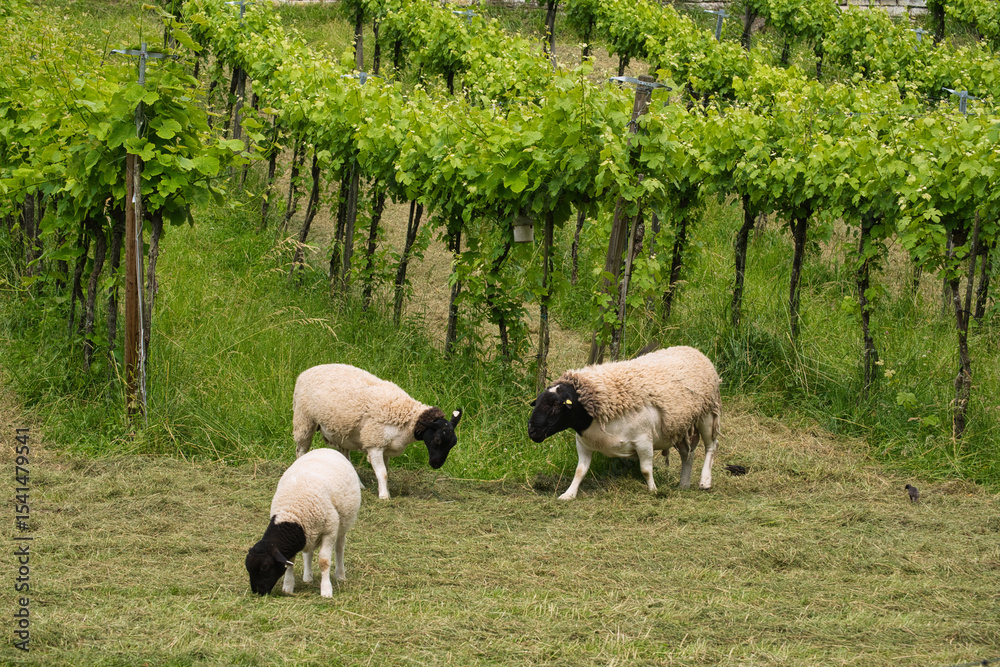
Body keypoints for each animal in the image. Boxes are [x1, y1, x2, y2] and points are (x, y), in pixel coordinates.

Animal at [245, 448, 361, 597]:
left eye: (265, 566)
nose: (258, 592)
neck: (292, 515)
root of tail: (326, 449)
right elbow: (290, 562)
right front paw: (288, 587)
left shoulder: (329, 531)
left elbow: (324, 561)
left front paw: (326, 590)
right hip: (310, 531)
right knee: (308, 552)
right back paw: (308, 577)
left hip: (343, 524)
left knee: (339, 547)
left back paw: (340, 575)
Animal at [292, 363, 462, 499]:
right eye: (437, 439)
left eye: (453, 444)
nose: (436, 464)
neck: (406, 417)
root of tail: (307, 370)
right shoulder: (374, 444)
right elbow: (382, 473)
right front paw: (384, 496)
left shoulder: (386, 448)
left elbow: (386, 472)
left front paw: (386, 491)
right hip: (304, 420)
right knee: (301, 450)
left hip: (341, 433)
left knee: (345, 456)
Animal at [527, 346, 721, 500]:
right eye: (537, 403)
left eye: (556, 406)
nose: (532, 431)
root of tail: (693, 350)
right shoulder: (583, 443)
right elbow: (580, 471)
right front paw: (568, 494)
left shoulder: (643, 440)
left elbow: (645, 469)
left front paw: (653, 490)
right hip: (679, 425)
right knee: (687, 454)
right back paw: (684, 484)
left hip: (707, 414)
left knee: (711, 446)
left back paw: (705, 481)